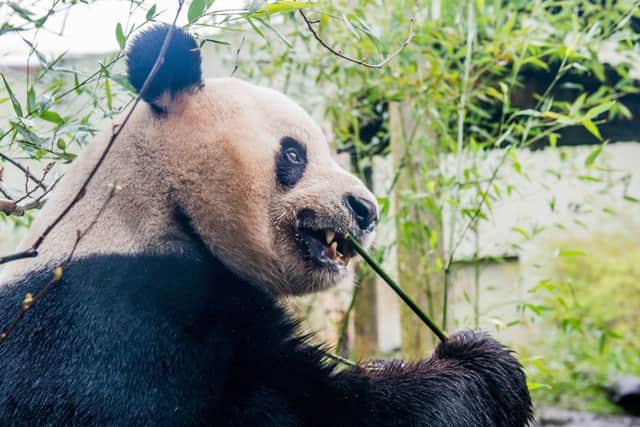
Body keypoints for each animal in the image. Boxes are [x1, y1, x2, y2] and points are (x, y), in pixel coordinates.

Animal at [0, 25, 533, 426]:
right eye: (294, 153)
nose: (366, 209)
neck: (157, 205)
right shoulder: (118, 325)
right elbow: (310, 410)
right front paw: (481, 365)